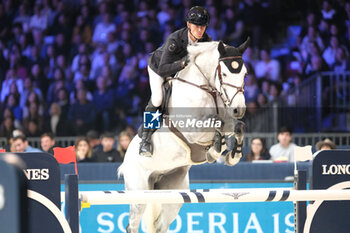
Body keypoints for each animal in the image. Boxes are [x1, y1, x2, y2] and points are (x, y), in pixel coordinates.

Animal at [119, 39, 250, 232]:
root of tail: (125, 161)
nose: (238, 110)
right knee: (132, 225)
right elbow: (216, 123)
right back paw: (145, 147)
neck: (206, 89)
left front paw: (232, 156)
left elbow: (237, 127)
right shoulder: (192, 129)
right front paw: (213, 152)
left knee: (160, 225)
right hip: (139, 192)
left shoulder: (228, 122)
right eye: (224, 74)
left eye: (245, 74)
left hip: (172, 191)